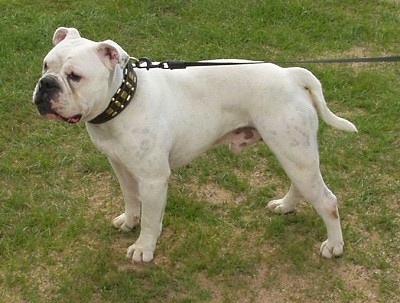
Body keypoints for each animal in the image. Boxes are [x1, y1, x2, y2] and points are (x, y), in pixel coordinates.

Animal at [32, 27, 356, 262]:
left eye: (75, 76)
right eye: (46, 65)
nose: (46, 83)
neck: (125, 101)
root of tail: (292, 74)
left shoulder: (153, 179)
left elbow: (151, 219)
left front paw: (144, 248)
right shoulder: (121, 166)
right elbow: (131, 199)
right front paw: (129, 220)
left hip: (294, 152)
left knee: (328, 202)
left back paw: (334, 245)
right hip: (292, 152)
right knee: (301, 186)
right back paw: (285, 206)